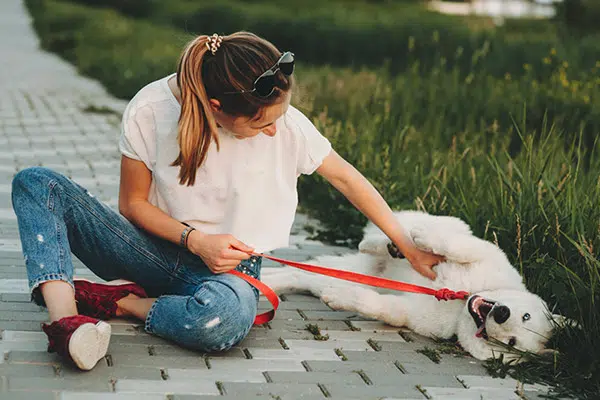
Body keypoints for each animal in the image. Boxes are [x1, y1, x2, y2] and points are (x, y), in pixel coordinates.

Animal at [262, 212, 556, 362]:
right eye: (525, 316)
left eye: (510, 343)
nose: (502, 314)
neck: (461, 302)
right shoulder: (486, 253)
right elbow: (457, 247)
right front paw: (422, 241)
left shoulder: (409, 312)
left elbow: (378, 305)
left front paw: (342, 297)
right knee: (402, 229)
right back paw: (390, 244)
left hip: (344, 273)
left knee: (300, 274)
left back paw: (266, 280)